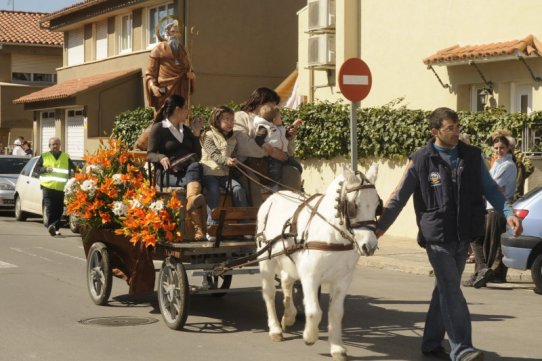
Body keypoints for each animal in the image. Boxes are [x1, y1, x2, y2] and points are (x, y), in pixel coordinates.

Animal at [256, 165, 380, 360]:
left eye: (377, 205)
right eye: (353, 206)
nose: (370, 246)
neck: (333, 234)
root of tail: (273, 196)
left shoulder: (343, 279)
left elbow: (336, 312)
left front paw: (336, 347)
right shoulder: (310, 276)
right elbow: (314, 311)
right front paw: (310, 336)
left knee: (286, 281)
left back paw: (288, 316)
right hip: (266, 260)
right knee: (268, 293)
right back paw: (275, 328)